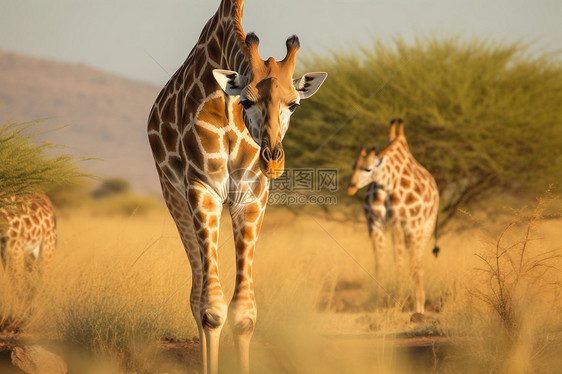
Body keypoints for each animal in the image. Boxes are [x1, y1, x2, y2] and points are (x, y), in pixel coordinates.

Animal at [147, 1, 326, 372]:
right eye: (246, 101)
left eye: (294, 104)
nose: (273, 161)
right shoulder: (203, 188)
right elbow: (211, 309)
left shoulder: (252, 194)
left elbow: (243, 314)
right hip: (174, 196)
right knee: (196, 295)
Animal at [346, 118, 438, 314]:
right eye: (353, 166)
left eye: (368, 169)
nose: (351, 187)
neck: (387, 184)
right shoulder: (374, 224)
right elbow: (380, 263)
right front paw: (380, 302)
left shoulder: (401, 224)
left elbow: (401, 264)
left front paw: (401, 301)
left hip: (424, 226)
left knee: (417, 263)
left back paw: (420, 305)